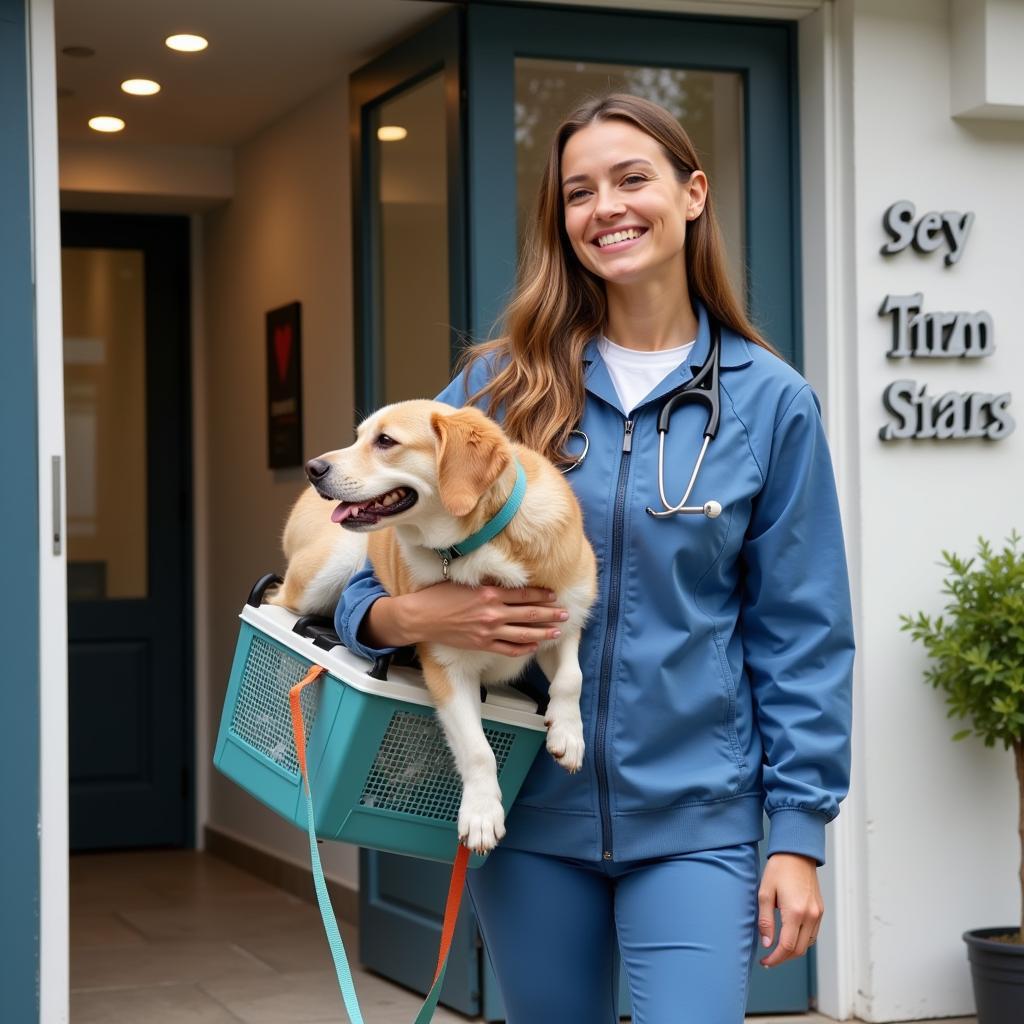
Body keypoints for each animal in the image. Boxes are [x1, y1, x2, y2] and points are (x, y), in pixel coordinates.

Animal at [268, 399, 598, 856]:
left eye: (385, 441)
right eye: (359, 437)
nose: (312, 468)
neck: (482, 544)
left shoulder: (563, 618)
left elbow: (571, 678)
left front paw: (568, 736)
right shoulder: (448, 669)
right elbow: (478, 750)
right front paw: (482, 815)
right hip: (326, 570)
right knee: (277, 604)